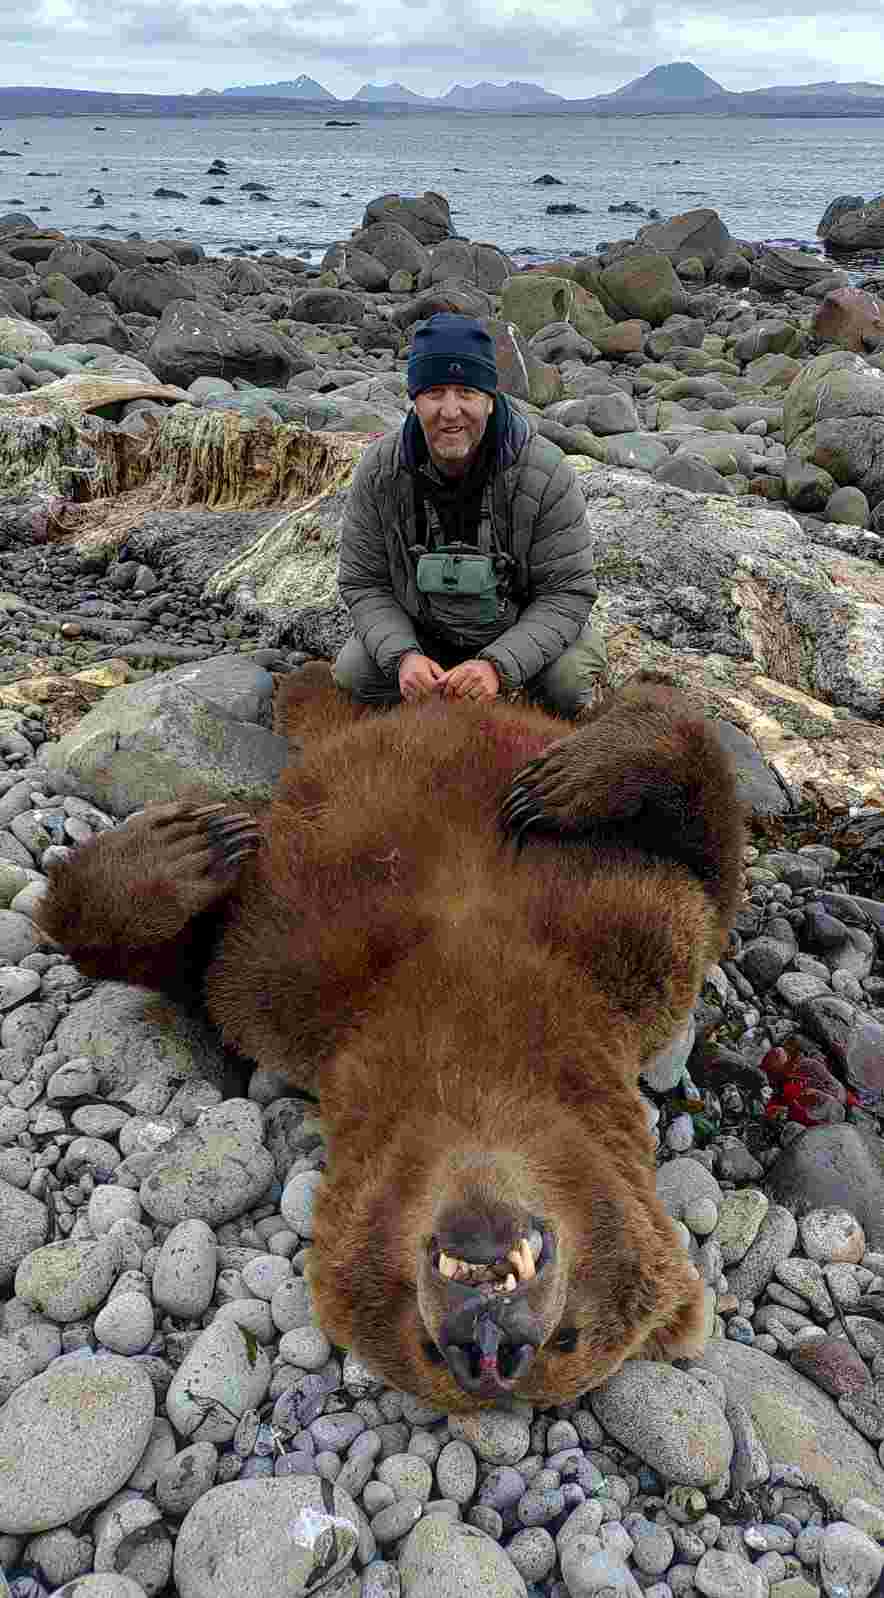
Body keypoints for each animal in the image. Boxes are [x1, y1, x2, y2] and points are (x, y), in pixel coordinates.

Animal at [37, 663, 745, 1411]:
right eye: (429, 1348)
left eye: (569, 1341)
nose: (488, 1350)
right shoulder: (294, 971)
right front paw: (186, 846)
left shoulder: (641, 958)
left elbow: (707, 861)